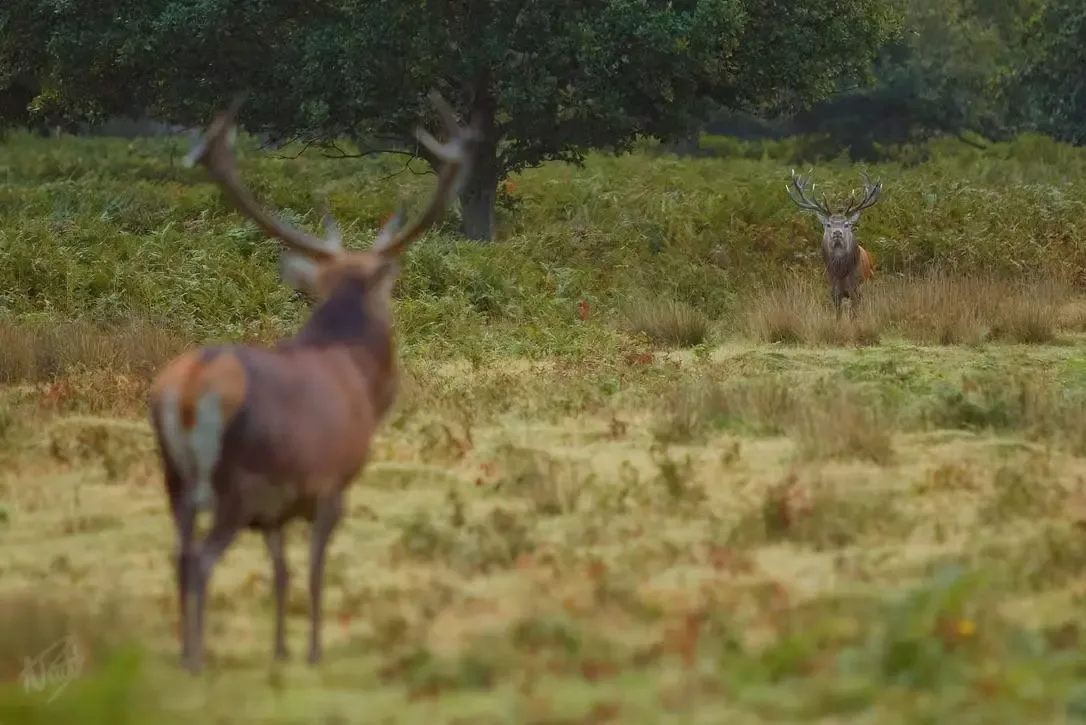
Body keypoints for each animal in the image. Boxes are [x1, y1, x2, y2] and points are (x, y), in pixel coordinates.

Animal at [147, 91, 479, 674]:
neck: (356, 373)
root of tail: (186, 393)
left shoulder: (277, 507)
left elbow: (281, 572)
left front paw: (280, 650)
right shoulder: (330, 482)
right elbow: (317, 569)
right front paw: (313, 652)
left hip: (177, 482)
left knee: (181, 556)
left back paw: (185, 650)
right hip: (236, 482)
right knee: (203, 560)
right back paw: (196, 659)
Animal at [786, 169, 882, 319]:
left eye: (847, 224)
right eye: (828, 224)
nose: (837, 233)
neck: (841, 272)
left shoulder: (856, 290)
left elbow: (854, 315)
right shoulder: (834, 291)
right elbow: (838, 315)